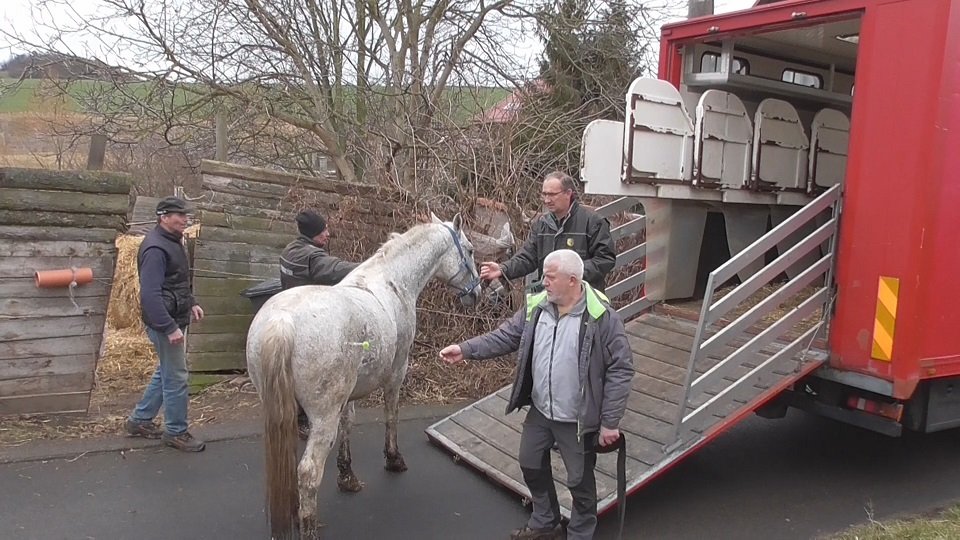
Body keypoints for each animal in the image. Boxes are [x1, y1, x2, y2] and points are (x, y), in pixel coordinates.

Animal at [246, 213, 480, 536]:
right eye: (469, 250)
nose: (479, 292)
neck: (393, 282)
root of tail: (282, 322)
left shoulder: (350, 393)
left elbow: (349, 423)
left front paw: (347, 477)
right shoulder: (396, 373)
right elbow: (391, 414)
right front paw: (394, 459)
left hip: (280, 411)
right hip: (322, 418)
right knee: (308, 472)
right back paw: (308, 527)